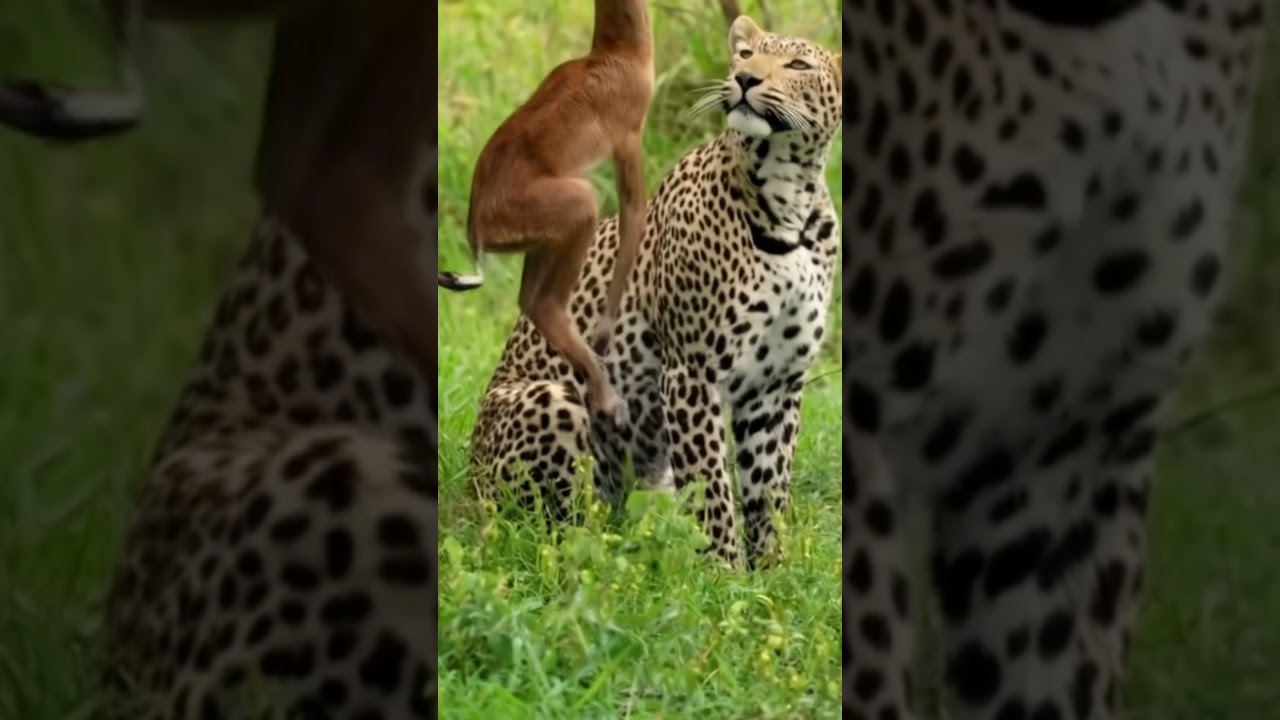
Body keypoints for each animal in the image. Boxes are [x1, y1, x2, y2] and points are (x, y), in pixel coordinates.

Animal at [464, 15, 843, 570]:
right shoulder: (692, 371)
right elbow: (711, 485)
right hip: (548, 401)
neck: (789, 197)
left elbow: (769, 488)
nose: (745, 79)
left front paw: (771, 573)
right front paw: (723, 576)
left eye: (797, 64)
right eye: (745, 55)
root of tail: (463, 488)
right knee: (557, 530)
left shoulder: (776, 385)